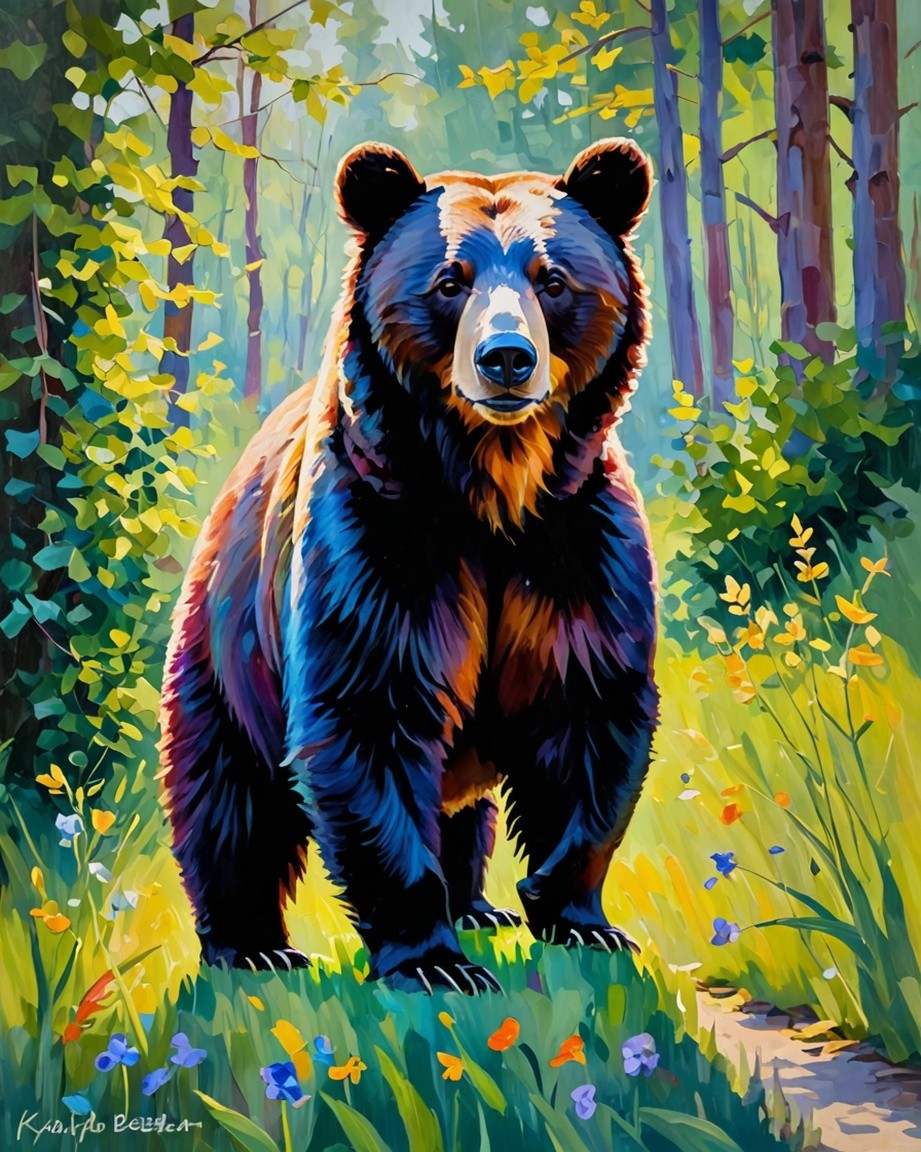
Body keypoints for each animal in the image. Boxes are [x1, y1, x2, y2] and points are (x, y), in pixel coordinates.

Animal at [159, 137, 659, 993]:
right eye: (449, 280)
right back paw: (251, 945)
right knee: (229, 791)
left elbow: (589, 711)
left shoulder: (576, 542)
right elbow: (368, 714)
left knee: (461, 807)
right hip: (228, 640)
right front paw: (432, 963)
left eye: (551, 278)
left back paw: (478, 905)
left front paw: (575, 917)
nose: (504, 359)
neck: (490, 492)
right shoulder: (376, 536)